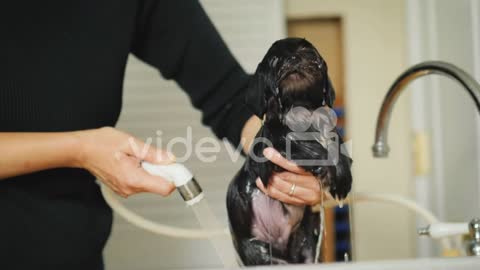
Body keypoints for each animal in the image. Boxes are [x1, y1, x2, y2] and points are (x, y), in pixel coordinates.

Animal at [225, 38, 352, 266]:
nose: (293, 58)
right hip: (259, 254)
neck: (300, 112)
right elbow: (303, 146)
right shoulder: (269, 150)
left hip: (306, 246)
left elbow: (336, 147)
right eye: (275, 60)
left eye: (308, 53)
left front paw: (343, 179)